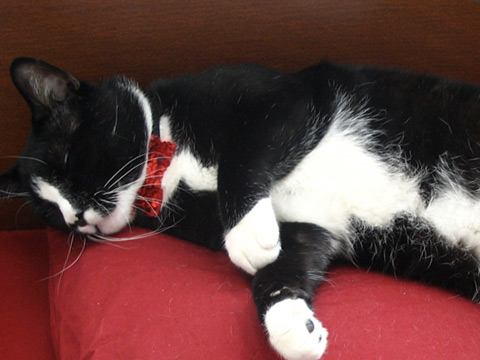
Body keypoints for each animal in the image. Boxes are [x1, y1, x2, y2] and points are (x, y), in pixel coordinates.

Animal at [0, 57, 480, 360]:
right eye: (48, 211)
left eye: (66, 160)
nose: (74, 218)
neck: (166, 161)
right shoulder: (313, 222)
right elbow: (279, 268)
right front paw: (292, 325)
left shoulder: (280, 96)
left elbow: (242, 156)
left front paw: (248, 232)